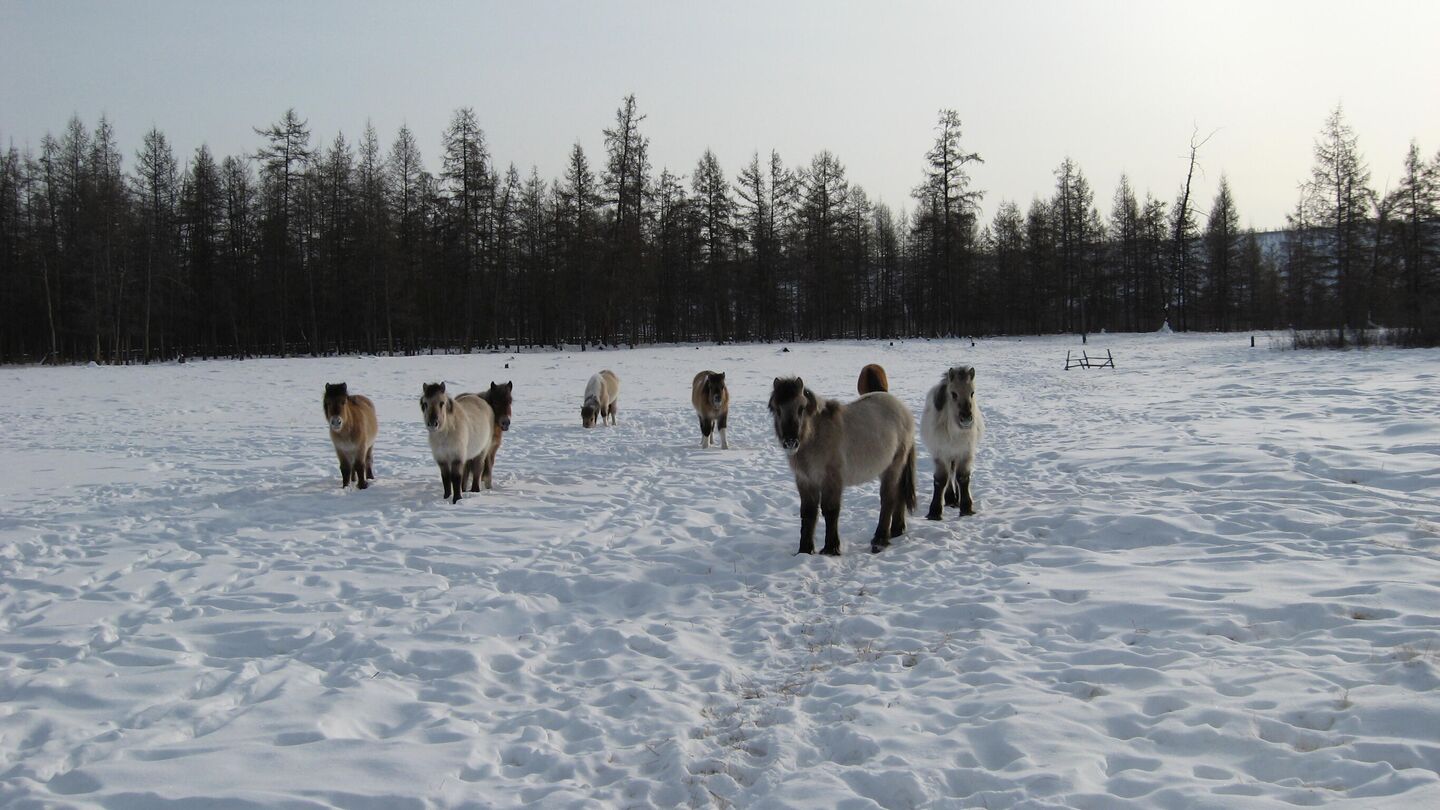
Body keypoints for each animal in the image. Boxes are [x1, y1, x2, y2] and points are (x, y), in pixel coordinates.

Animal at [771, 374, 915, 550]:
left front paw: (831, 548)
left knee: (889, 499)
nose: (790, 442)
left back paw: (880, 538)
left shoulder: (832, 480)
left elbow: (830, 510)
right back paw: (896, 530)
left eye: (801, 408)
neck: (816, 436)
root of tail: (903, 410)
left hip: (893, 466)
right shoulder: (805, 481)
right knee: (899, 494)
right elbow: (808, 513)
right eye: (777, 409)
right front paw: (805, 550)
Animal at [915, 364, 984, 515]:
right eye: (953, 394)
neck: (955, 432)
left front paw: (966, 507)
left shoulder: (965, 452)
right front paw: (935, 511)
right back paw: (950, 498)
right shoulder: (941, 454)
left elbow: (963, 477)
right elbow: (941, 479)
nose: (966, 419)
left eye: (972, 393)